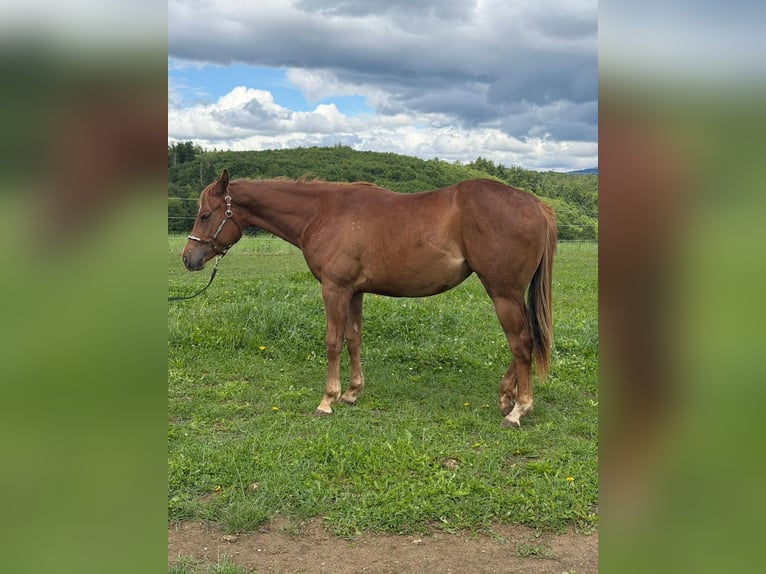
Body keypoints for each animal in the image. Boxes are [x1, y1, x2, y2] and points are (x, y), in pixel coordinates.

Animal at [182, 170, 556, 428]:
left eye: (205, 215)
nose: (188, 258)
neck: (324, 212)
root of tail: (535, 203)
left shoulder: (334, 289)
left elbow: (332, 342)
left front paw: (327, 400)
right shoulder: (354, 291)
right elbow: (353, 340)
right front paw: (351, 393)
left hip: (502, 292)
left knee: (521, 342)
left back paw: (518, 409)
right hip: (509, 294)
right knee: (525, 341)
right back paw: (507, 396)